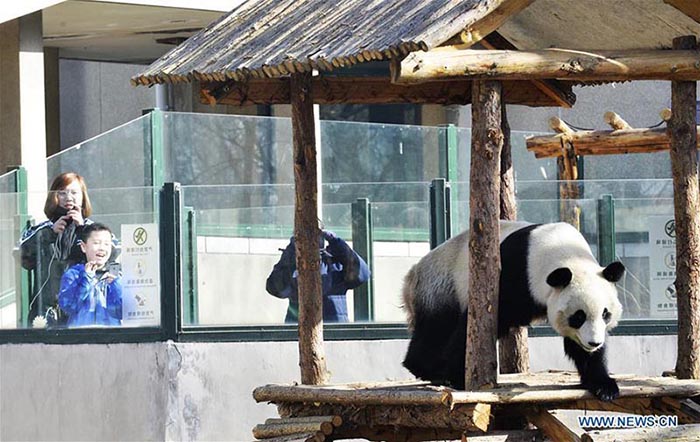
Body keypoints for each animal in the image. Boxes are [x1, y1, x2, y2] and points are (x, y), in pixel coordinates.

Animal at [402, 221, 625, 401]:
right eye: (578, 316)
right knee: (436, 328)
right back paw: (428, 368)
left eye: (605, 314)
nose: (594, 343)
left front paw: (603, 386)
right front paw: (458, 376)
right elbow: (475, 325)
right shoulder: (513, 274)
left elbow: (579, 348)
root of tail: (412, 274)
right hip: (442, 286)